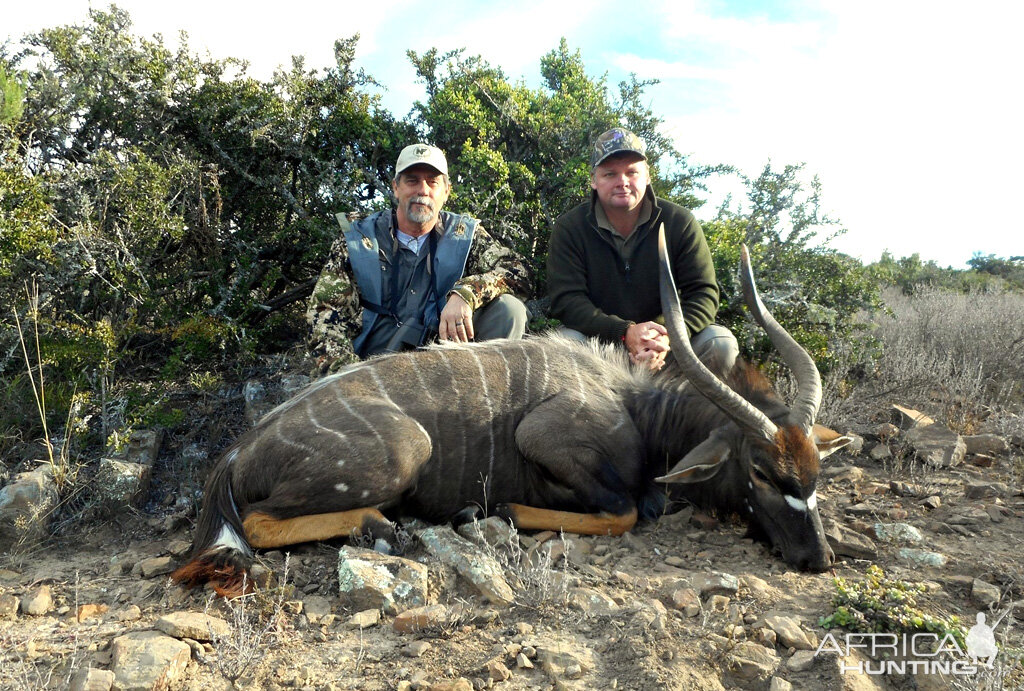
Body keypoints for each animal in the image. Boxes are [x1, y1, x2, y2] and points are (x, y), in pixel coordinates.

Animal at [172, 227, 851, 593]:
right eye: (760, 472)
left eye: (816, 472)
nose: (818, 560)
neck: (638, 411)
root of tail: (235, 454)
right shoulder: (547, 437)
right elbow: (625, 512)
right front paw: (499, 511)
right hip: (403, 452)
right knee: (258, 522)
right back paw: (386, 527)